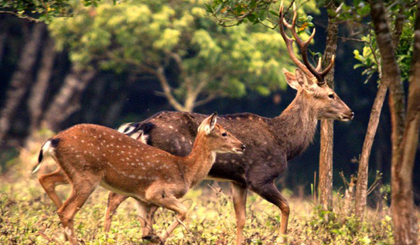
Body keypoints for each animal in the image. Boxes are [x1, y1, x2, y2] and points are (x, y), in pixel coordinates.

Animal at [33, 113, 246, 245]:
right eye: (224, 133)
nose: (242, 146)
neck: (186, 171)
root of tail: (52, 141)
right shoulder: (157, 192)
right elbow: (185, 211)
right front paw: (158, 237)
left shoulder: (141, 199)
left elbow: (145, 227)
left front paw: (150, 237)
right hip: (86, 175)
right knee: (66, 210)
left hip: (71, 172)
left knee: (46, 180)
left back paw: (59, 235)